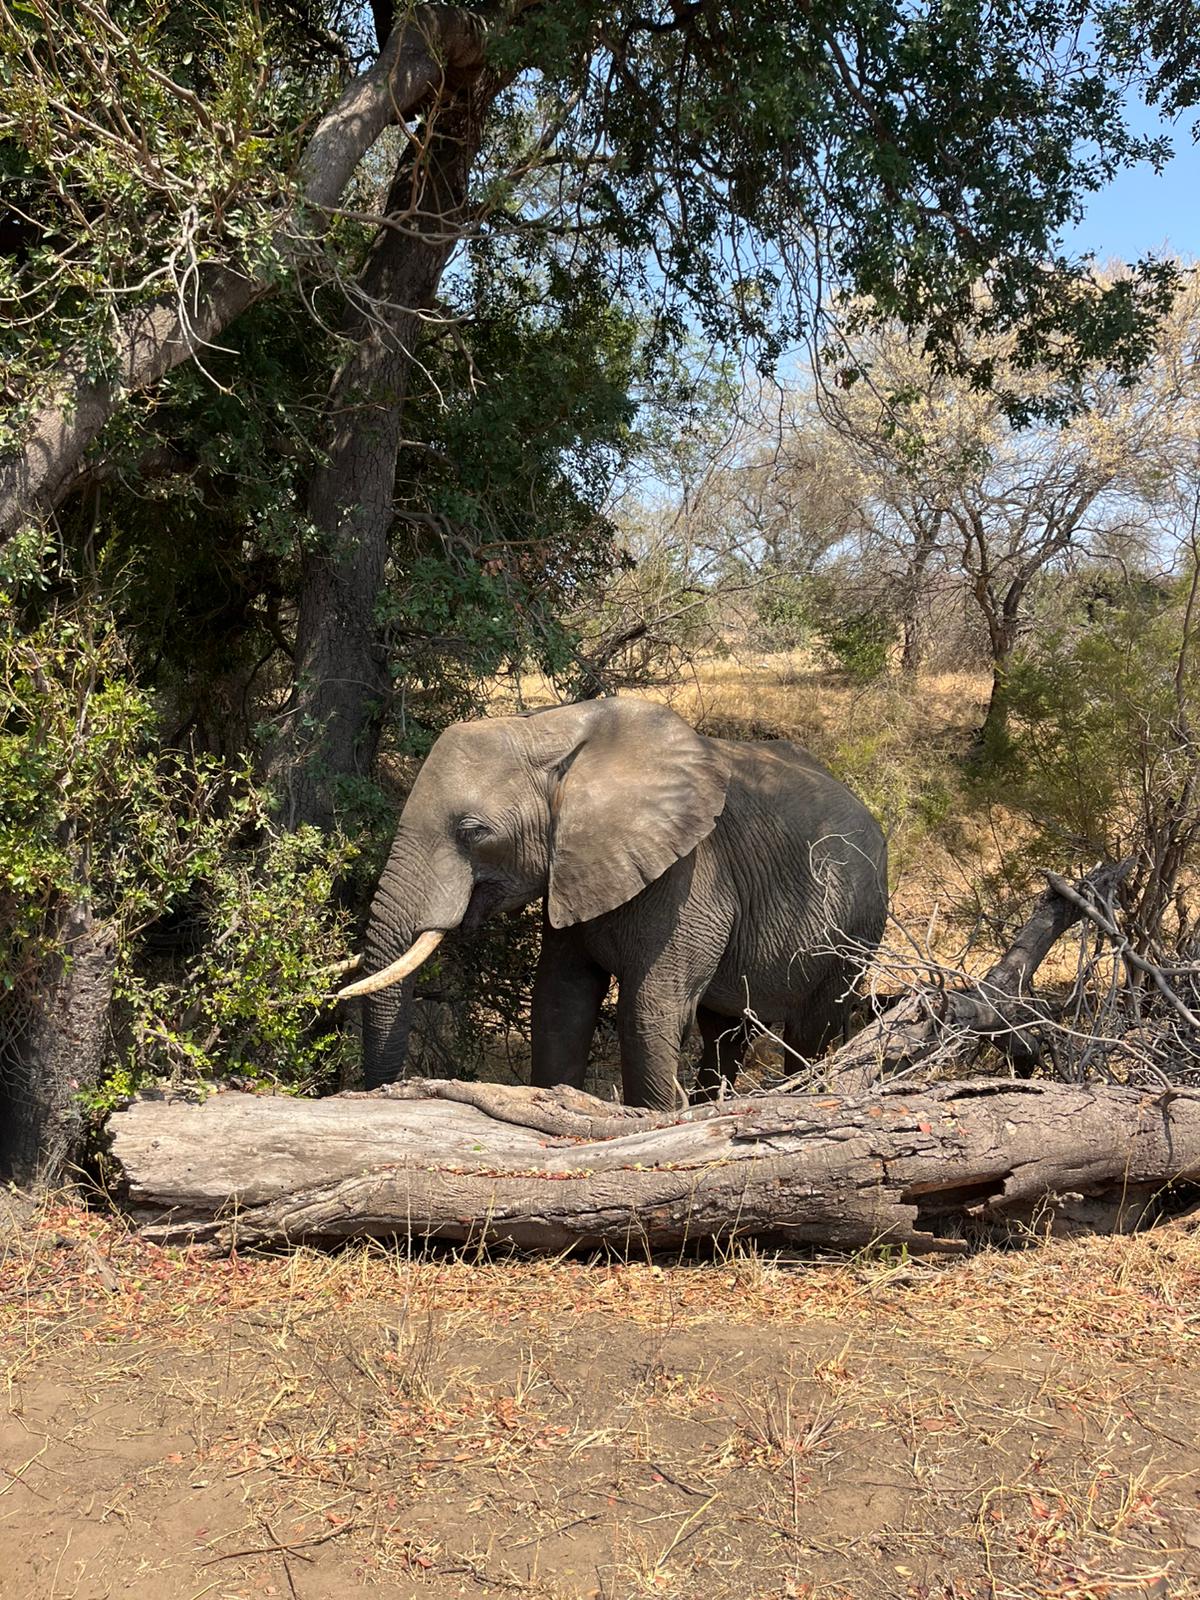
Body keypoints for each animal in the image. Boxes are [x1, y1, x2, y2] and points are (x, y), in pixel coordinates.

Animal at [340, 696, 887, 1110]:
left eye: (473, 832)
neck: (555, 730)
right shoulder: (574, 873)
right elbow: (559, 1000)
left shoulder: (690, 875)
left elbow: (649, 1009)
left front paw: (649, 1120)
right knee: (724, 1033)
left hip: (855, 929)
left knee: (811, 1032)